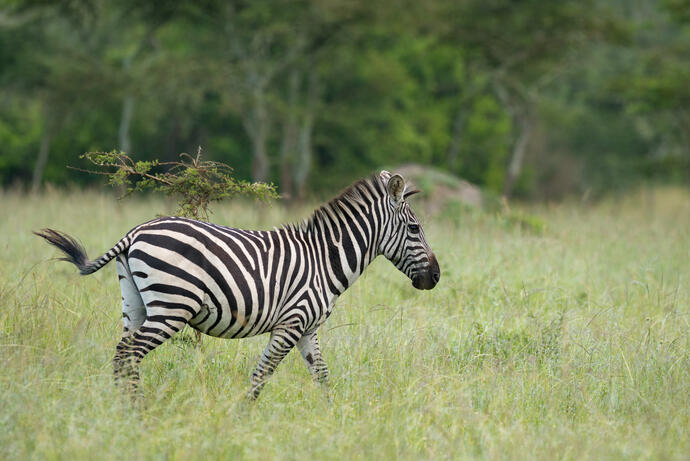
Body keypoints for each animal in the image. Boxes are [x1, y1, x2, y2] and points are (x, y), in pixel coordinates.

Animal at [36, 171, 436, 398]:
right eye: (415, 228)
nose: (436, 277)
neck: (325, 260)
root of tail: (135, 231)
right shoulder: (291, 324)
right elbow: (262, 375)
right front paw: (244, 418)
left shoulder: (308, 328)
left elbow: (322, 376)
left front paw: (334, 418)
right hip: (171, 307)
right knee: (128, 353)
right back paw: (136, 412)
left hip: (135, 303)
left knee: (123, 355)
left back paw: (125, 411)